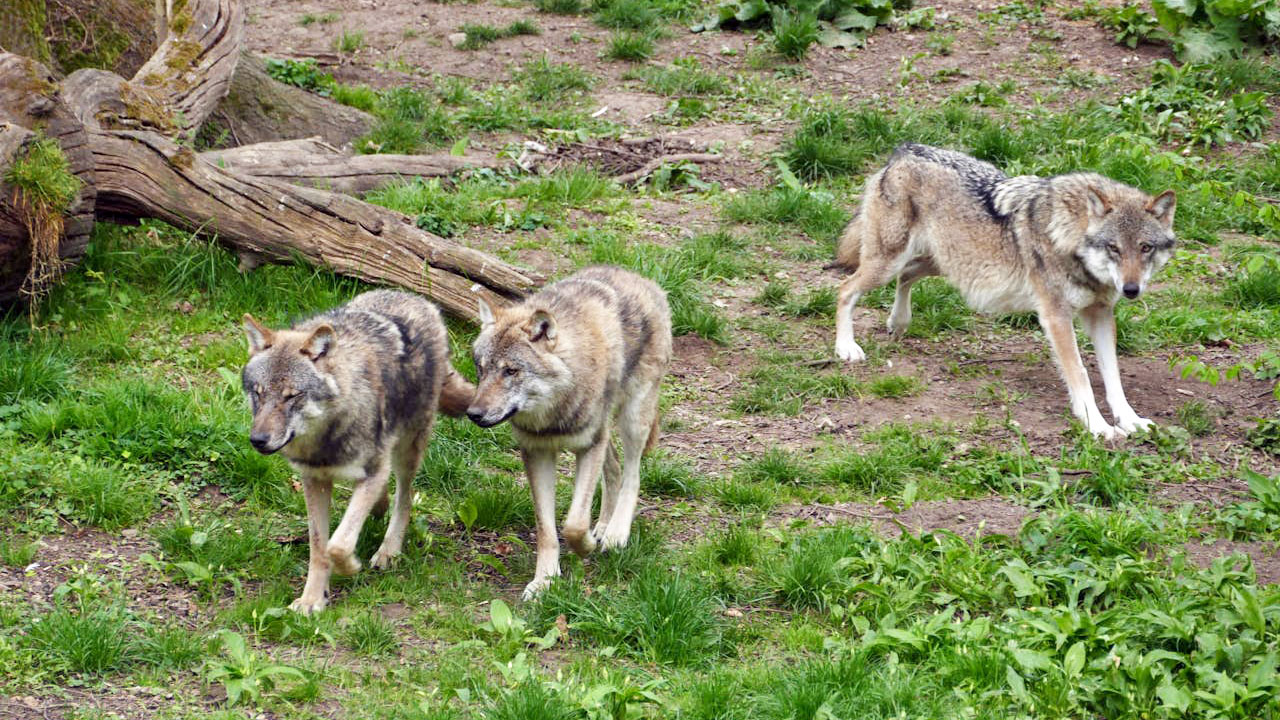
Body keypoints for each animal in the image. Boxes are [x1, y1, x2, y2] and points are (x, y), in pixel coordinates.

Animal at [241, 290, 473, 614]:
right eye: (258, 393)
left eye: (291, 396)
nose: (258, 440)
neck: (325, 439)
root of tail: (419, 300)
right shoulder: (314, 480)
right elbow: (319, 546)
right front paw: (312, 599)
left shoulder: (372, 471)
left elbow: (337, 545)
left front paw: (350, 567)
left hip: (407, 449)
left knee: (404, 498)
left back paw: (389, 551)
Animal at [466, 266, 672, 599]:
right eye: (481, 369)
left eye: (511, 371)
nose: (473, 413)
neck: (552, 415)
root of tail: (642, 278)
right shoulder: (537, 453)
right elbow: (547, 529)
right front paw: (544, 582)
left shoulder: (589, 446)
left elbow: (574, 524)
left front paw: (586, 545)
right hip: (605, 431)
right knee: (614, 468)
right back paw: (603, 526)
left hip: (632, 419)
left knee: (632, 474)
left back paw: (615, 533)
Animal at [833, 144, 1176, 440]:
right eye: (1114, 248)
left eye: (1145, 248)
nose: (1131, 289)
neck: (1068, 235)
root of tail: (903, 152)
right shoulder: (1056, 316)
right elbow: (1080, 374)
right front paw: (1098, 426)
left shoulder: (1101, 313)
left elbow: (1113, 375)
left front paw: (1130, 419)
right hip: (889, 264)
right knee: (844, 289)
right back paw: (846, 348)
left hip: (943, 263)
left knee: (905, 277)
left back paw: (899, 322)